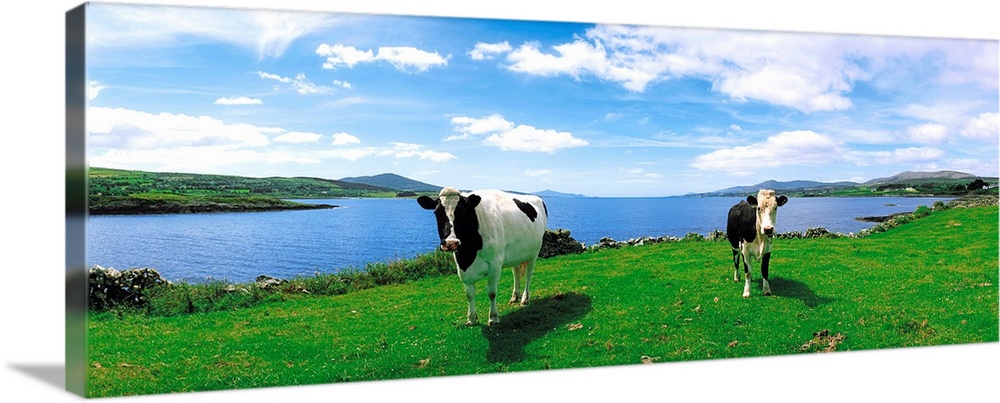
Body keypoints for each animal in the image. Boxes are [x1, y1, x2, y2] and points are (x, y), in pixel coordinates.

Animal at [417, 187, 548, 326]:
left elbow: (492, 293)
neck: (468, 255)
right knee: (516, 272)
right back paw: (514, 297)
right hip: (516, 254)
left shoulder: (495, 264)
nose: (451, 243)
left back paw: (524, 298)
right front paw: (471, 318)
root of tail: (536, 197)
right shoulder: (462, 267)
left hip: (535, 252)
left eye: (463, 212)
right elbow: (469, 295)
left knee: (528, 274)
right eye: (436, 213)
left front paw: (493, 317)